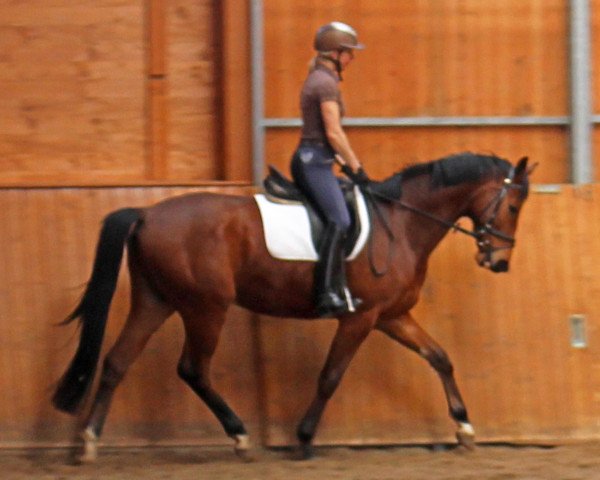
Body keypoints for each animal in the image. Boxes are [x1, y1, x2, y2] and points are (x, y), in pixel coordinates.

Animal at [51, 153, 528, 462]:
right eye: (513, 205)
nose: (500, 262)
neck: (401, 224)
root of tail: (147, 212)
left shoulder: (391, 316)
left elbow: (440, 357)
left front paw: (464, 428)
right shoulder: (361, 317)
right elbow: (330, 376)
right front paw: (303, 438)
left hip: (156, 300)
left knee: (117, 361)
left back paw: (89, 442)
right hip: (206, 307)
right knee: (192, 369)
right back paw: (240, 436)